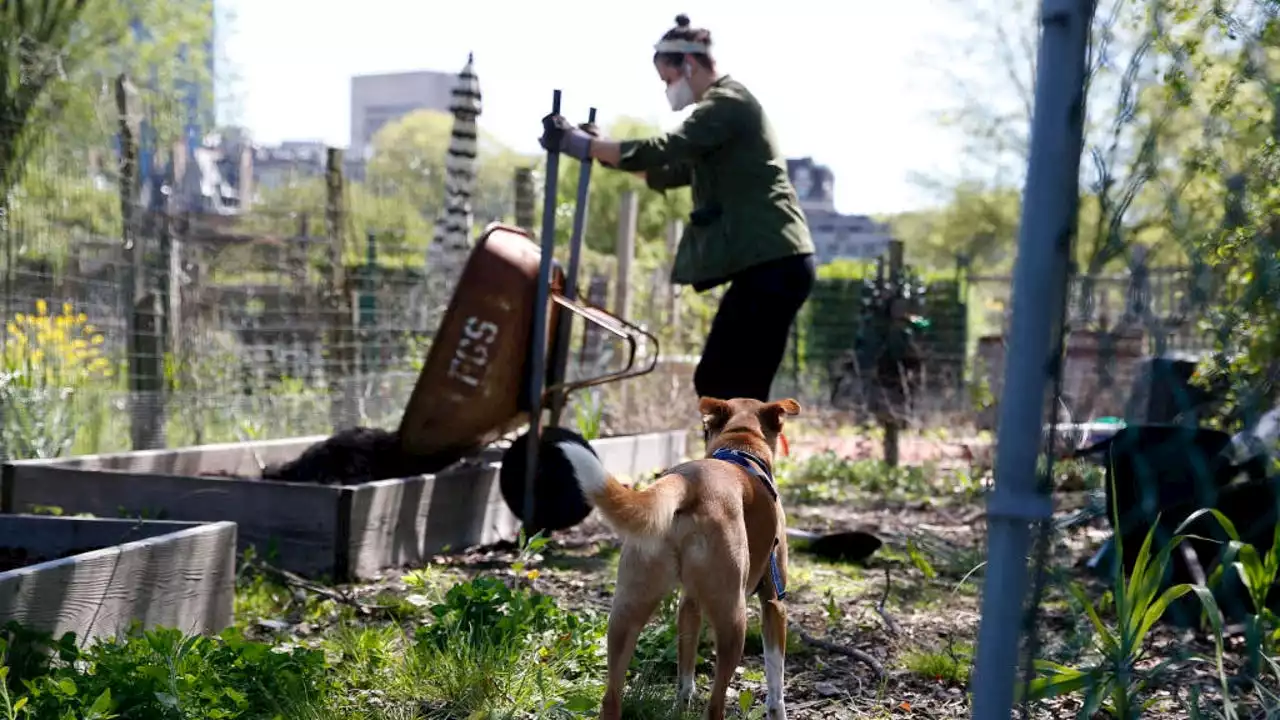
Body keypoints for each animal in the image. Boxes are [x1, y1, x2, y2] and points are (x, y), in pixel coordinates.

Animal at [573, 394, 793, 712]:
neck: (741, 444)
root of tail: (688, 482)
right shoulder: (774, 602)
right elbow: (775, 674)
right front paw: (777, 710)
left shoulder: (689, 602)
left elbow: (686, 660)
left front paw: (683, 698)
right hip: (732, 617)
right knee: (715, 704)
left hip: (626, 611)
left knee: (611, 698)